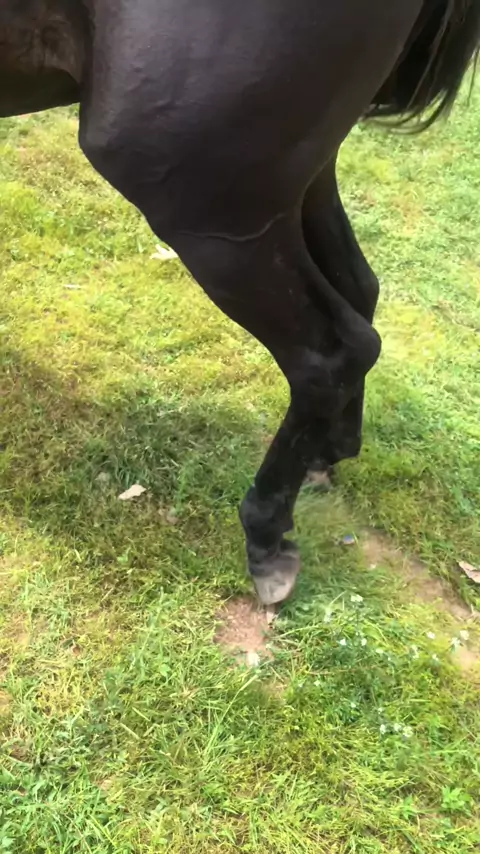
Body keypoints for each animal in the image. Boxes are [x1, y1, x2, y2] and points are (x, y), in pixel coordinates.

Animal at [1, 1, 479, 605]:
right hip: (291, 183)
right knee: (359, 290)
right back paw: (329, 452)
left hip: (210, 212)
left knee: (330, 354)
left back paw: (267, 536)